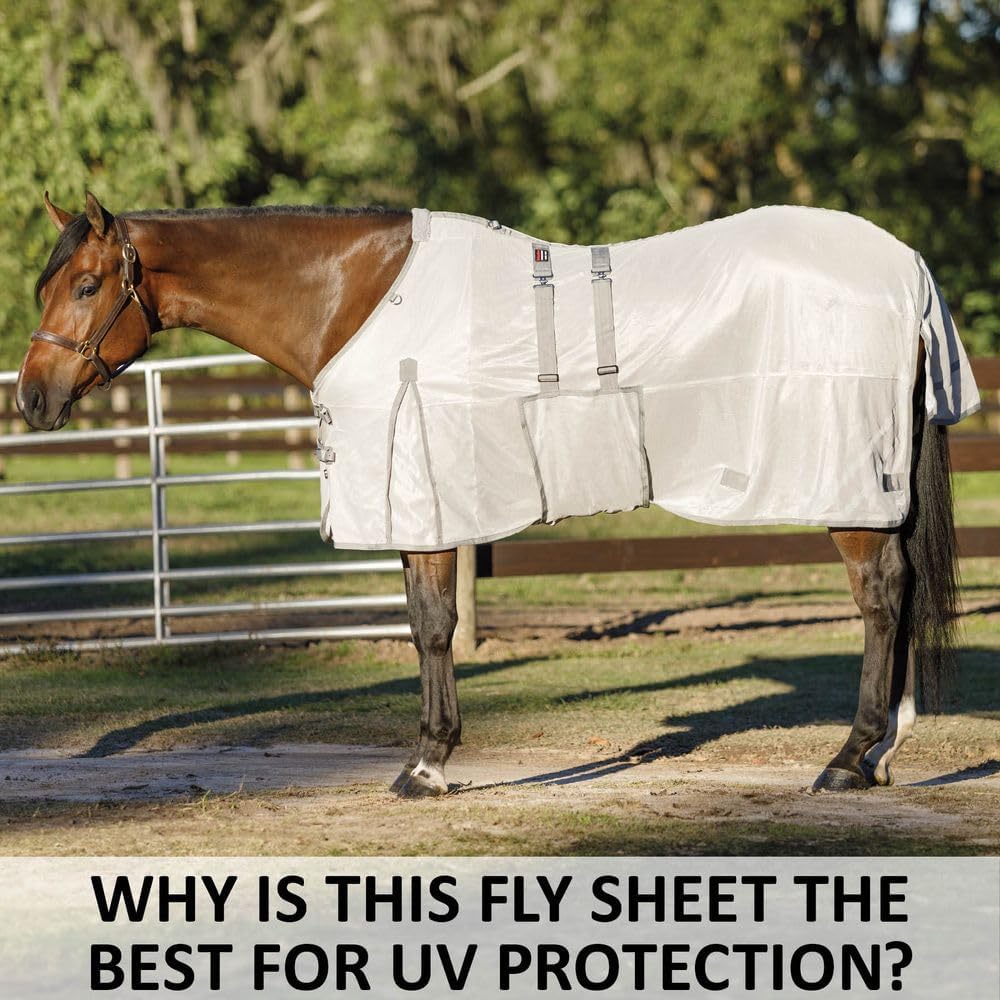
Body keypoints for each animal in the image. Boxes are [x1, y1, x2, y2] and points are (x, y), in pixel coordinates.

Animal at [16, 191, 969, 798]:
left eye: (89, 285)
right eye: (48, 286)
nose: (30, 399)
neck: (359, 297)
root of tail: (906, 268)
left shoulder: (428, 493)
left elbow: (435, 626)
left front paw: (427, 765)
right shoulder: (421, 503)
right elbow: (422, 622)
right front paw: (430, 757)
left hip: (852, 483)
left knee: (881, 596)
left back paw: (847, 759)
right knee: (900, 593)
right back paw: (883, 753)